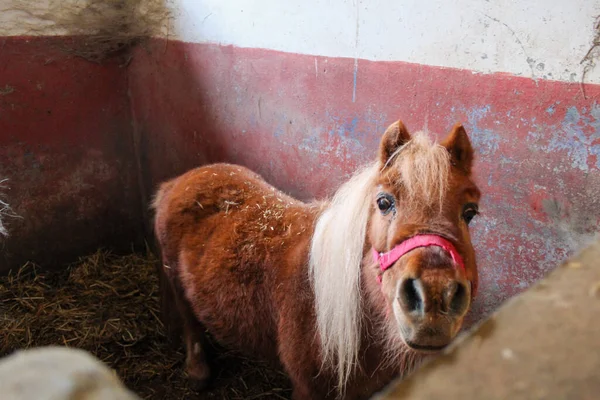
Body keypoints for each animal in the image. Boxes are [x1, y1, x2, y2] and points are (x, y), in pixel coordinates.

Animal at [151, 120, 482, 398]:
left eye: (470, 212)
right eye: (384, 202)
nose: (434, 298)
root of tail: (180, 181)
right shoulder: (308, 388)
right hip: (175, 279)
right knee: (189, 321)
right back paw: (198, 372)